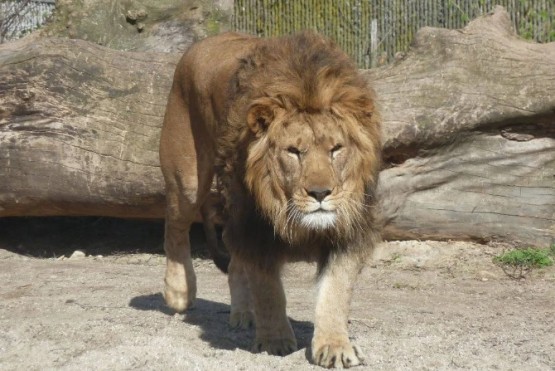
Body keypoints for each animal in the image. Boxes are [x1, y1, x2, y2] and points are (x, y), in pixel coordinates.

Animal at [159, 32, 380, 370]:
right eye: (294, 151)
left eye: (336, 149)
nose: (320, 193)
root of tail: (202, 43)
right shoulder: (254, 227)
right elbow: (268, 288)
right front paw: (275, 340)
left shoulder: (348, 231)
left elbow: (335, 291)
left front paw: (334, 347)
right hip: (186, 179)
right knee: (175, 227)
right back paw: (178, 292)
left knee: (233, 256)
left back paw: (243, 314)